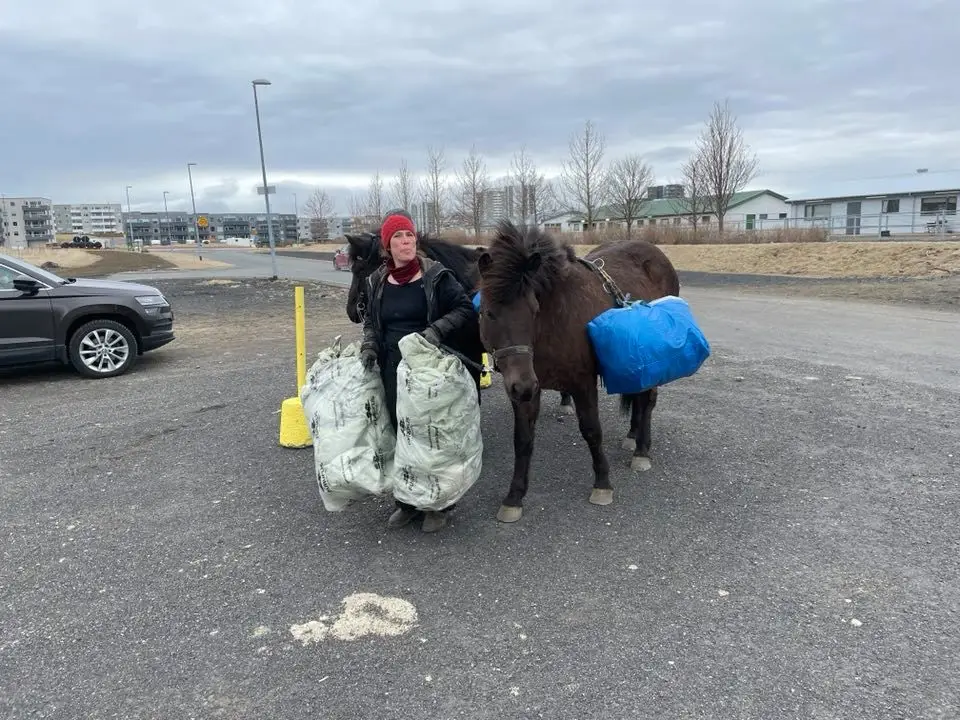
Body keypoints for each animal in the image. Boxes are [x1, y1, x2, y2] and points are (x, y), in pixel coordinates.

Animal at [476, 219, 680, 524]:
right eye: (489, 312)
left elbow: (592, 431)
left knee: (648, 400)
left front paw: (603, 484)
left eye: (533, 309)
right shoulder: (528, 390)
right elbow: (522, 440)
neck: (555, 321)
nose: (521, 385)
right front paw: (514, 497)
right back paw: (632, 437)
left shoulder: (582, 383)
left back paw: (642, 451)